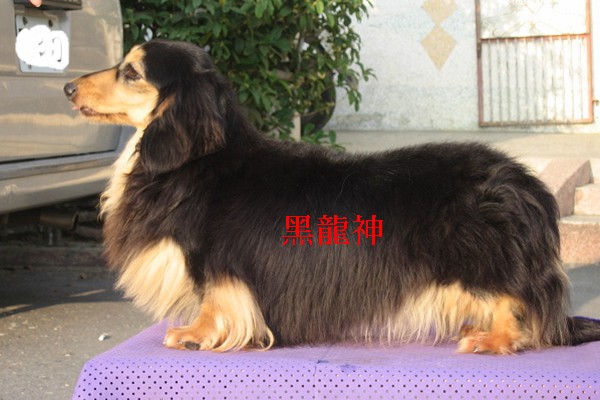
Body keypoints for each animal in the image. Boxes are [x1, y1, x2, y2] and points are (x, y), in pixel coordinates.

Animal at [64, 39, 600, 354]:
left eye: (132, 72)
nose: (67, 87)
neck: (197, 160)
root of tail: (527, 185)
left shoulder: (218, 261)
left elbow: (216, 302)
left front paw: (195, 335)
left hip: (479, 258)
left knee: (519, 305)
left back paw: (492, 338)